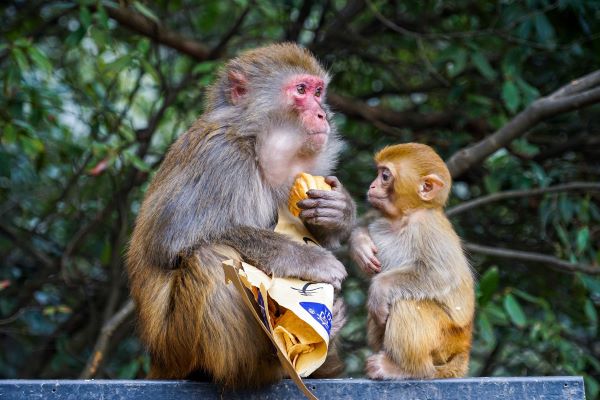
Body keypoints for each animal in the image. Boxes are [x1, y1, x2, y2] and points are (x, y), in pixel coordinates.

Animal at [125, 43, 352, 388]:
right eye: (300, 90)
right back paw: (256, 365)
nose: (322, 114)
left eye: (318, 91)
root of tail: (159, 360)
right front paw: (310, 260)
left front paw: (338, 213)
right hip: (175, 346)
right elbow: (173, 240)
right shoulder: (220, 158)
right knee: (211, 257)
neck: (253, 139)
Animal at [350, 143, 476, 378]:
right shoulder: (382, 225)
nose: (372, 185)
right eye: (378, 173)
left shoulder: (427, 228)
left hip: (446, 340)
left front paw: (380, 286)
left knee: (406, 304)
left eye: (385, 176)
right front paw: (360, 244)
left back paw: (405, 369)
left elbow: (441, 275)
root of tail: (464, 345)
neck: (406, 217)